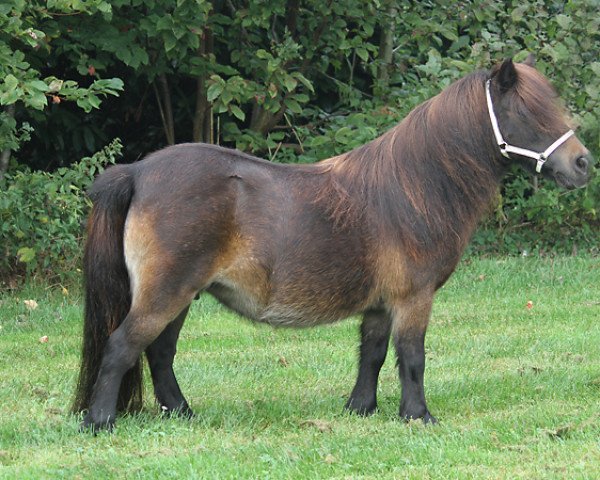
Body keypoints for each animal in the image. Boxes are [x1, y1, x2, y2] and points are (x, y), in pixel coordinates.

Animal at [74, 59, 592, 432]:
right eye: (526, 112)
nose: (583, 163)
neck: (416, 187)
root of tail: (139, 170)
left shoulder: (381, 304)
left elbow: (373, 353)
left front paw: (361, 408)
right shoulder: (414, 297)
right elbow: (413, 357)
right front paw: (418, 416)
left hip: (179, 294)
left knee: (159, 353)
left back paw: (181, 413)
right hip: (166, 292)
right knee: (122, 346)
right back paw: (100, 422)